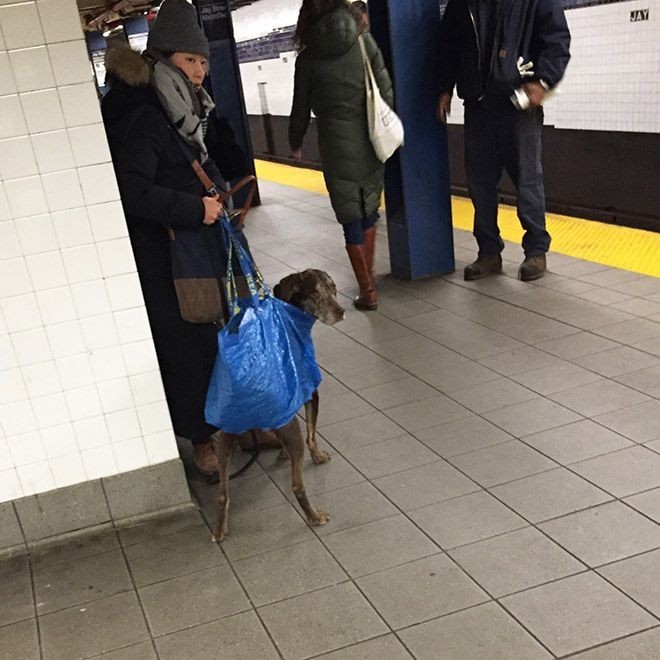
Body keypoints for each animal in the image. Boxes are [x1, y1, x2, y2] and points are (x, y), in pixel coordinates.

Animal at [206, 217, 342, 540]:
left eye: (333, 289)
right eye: (316, 295)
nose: (341, 311)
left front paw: (279, 453)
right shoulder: (311, 394)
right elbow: (313, 432)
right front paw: (318, 456)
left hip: (224, 441)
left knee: (222, 494)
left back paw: (220, 530)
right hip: (289, 433)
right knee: (297, 484)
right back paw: (315, 516)